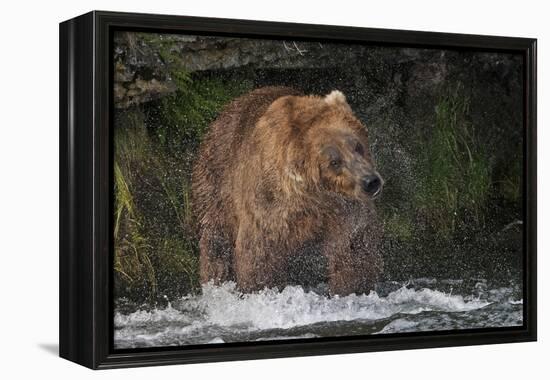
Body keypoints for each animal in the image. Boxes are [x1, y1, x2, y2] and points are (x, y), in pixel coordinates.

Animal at [193, 87, 384, 296]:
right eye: (334, 161)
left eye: (358, 146)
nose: (370, 181)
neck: (313, 197)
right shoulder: (270, 204)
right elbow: (260, 253)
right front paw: (260, 288)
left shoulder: (344, 208)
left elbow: (352, 249)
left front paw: (352, 287)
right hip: (217, 179)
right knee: (216, 239)